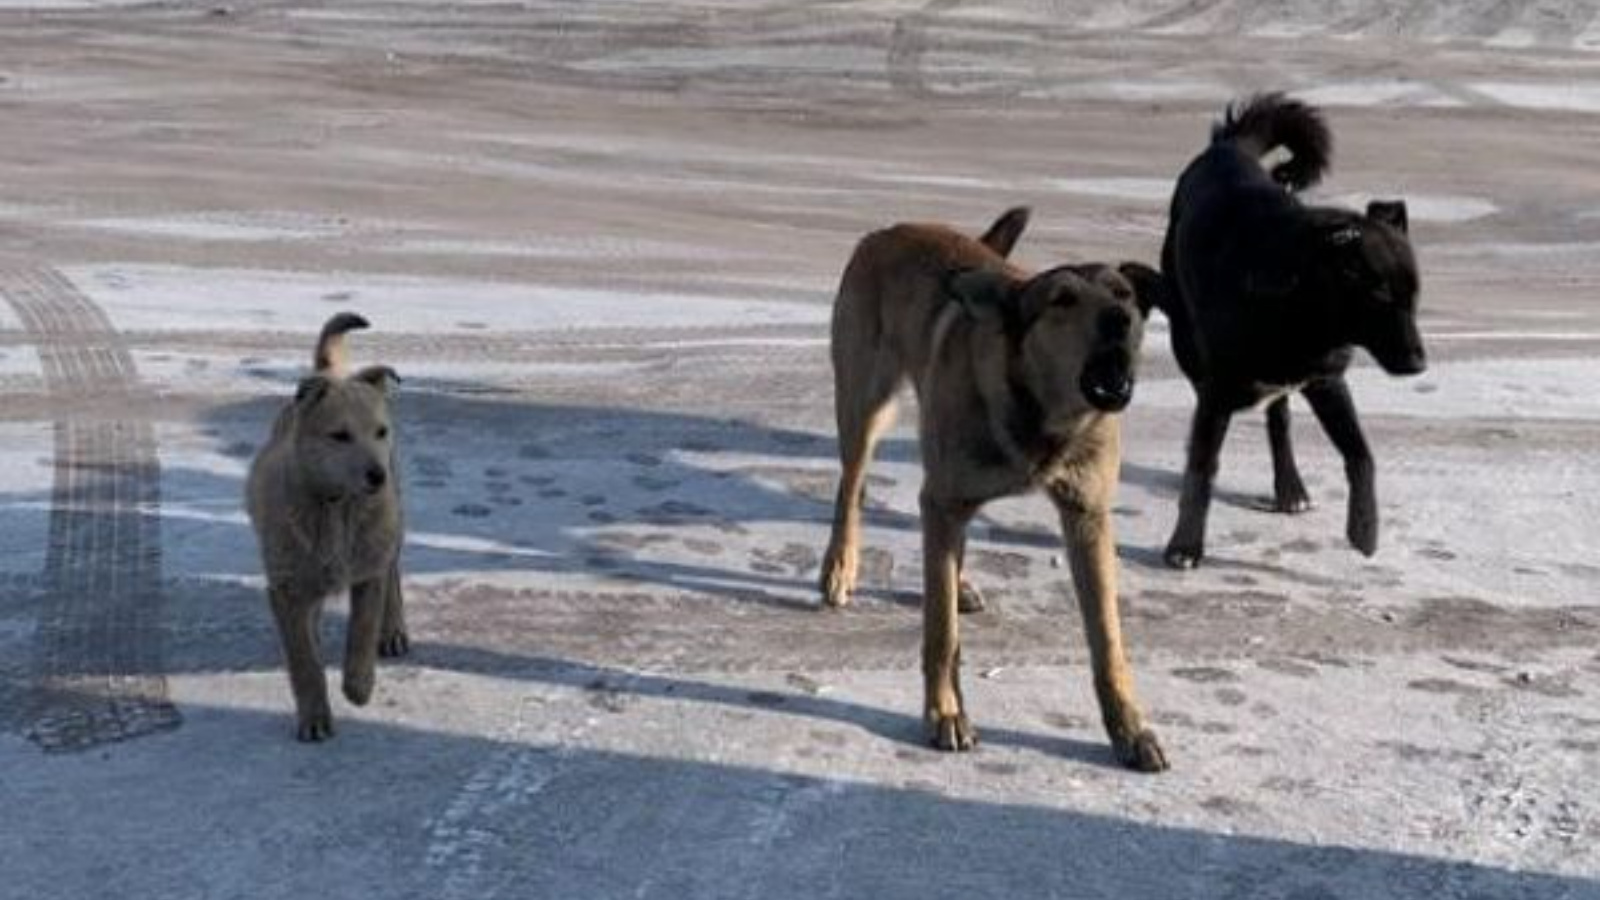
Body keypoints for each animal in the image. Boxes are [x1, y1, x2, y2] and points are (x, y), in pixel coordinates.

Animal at [246, 312, 406, 739]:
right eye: (340, 435)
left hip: (392, 524)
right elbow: (303, 658)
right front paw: (315, 717)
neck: (337, 509)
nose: (377, 476)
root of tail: (328, 372)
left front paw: (359, 686)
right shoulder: (285, 585)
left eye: (380, 432)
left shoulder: (367, 572)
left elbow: (362, 631)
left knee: (393, 572)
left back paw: (394, 631)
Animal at [819, 206, 1171, 768]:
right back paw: (840, 566)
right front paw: (944, 713)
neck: (1041, 414)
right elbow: (941, 633)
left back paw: (957, 581)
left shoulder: (1087, 518)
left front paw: (1130, 729)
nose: (1119, 319)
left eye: (1124, 294)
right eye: (1062, 299)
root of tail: (889, 230)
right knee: (851, 492)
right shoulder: (944, 496)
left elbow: (1108, 642)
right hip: (863, 407)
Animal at [1158, 91, 1433, 566]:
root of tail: (1229, 148)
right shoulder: (1217, 390)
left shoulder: (1327, 381)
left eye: (1413, 298)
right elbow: (1201, 469)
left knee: (1279, 420)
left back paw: (1290, 488)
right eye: (1379, 297)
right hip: (1186, 344)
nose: (1419, 365)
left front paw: (1364, 528)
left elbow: (1361, 455)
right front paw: (1185, 545)